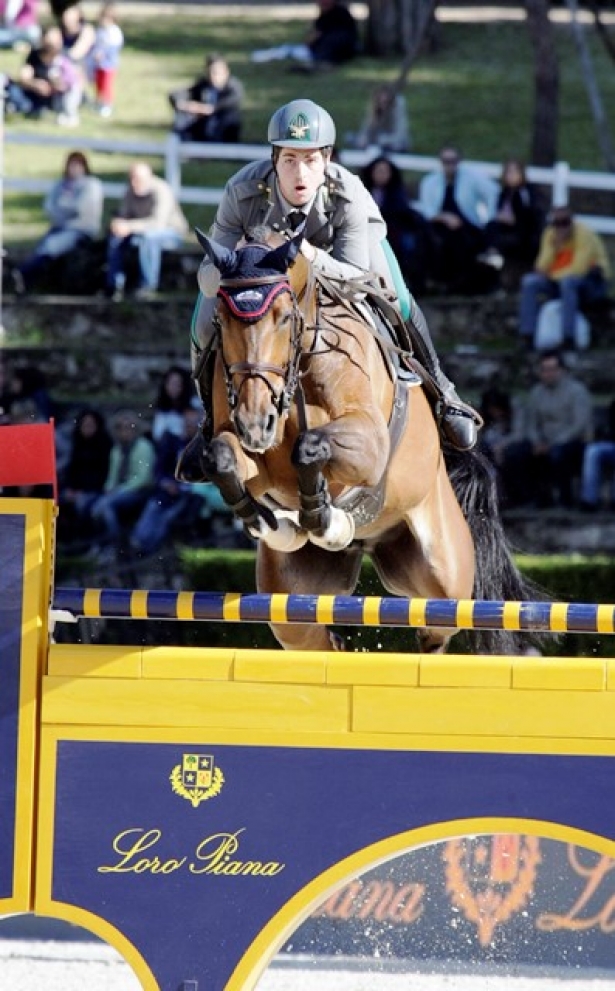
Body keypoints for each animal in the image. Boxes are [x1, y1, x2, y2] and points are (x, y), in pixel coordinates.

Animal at [189, 229, 540, 656]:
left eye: (285, 317)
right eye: (220, 321)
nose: (256, 424)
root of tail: (366, 544)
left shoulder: (370, 445)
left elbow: (309, 446)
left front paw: (321, 515)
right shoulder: (252, 455)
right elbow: (220, 457)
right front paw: (265, 520)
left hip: (443, 573)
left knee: (436, 626)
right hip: (291, 603)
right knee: (312, 639)